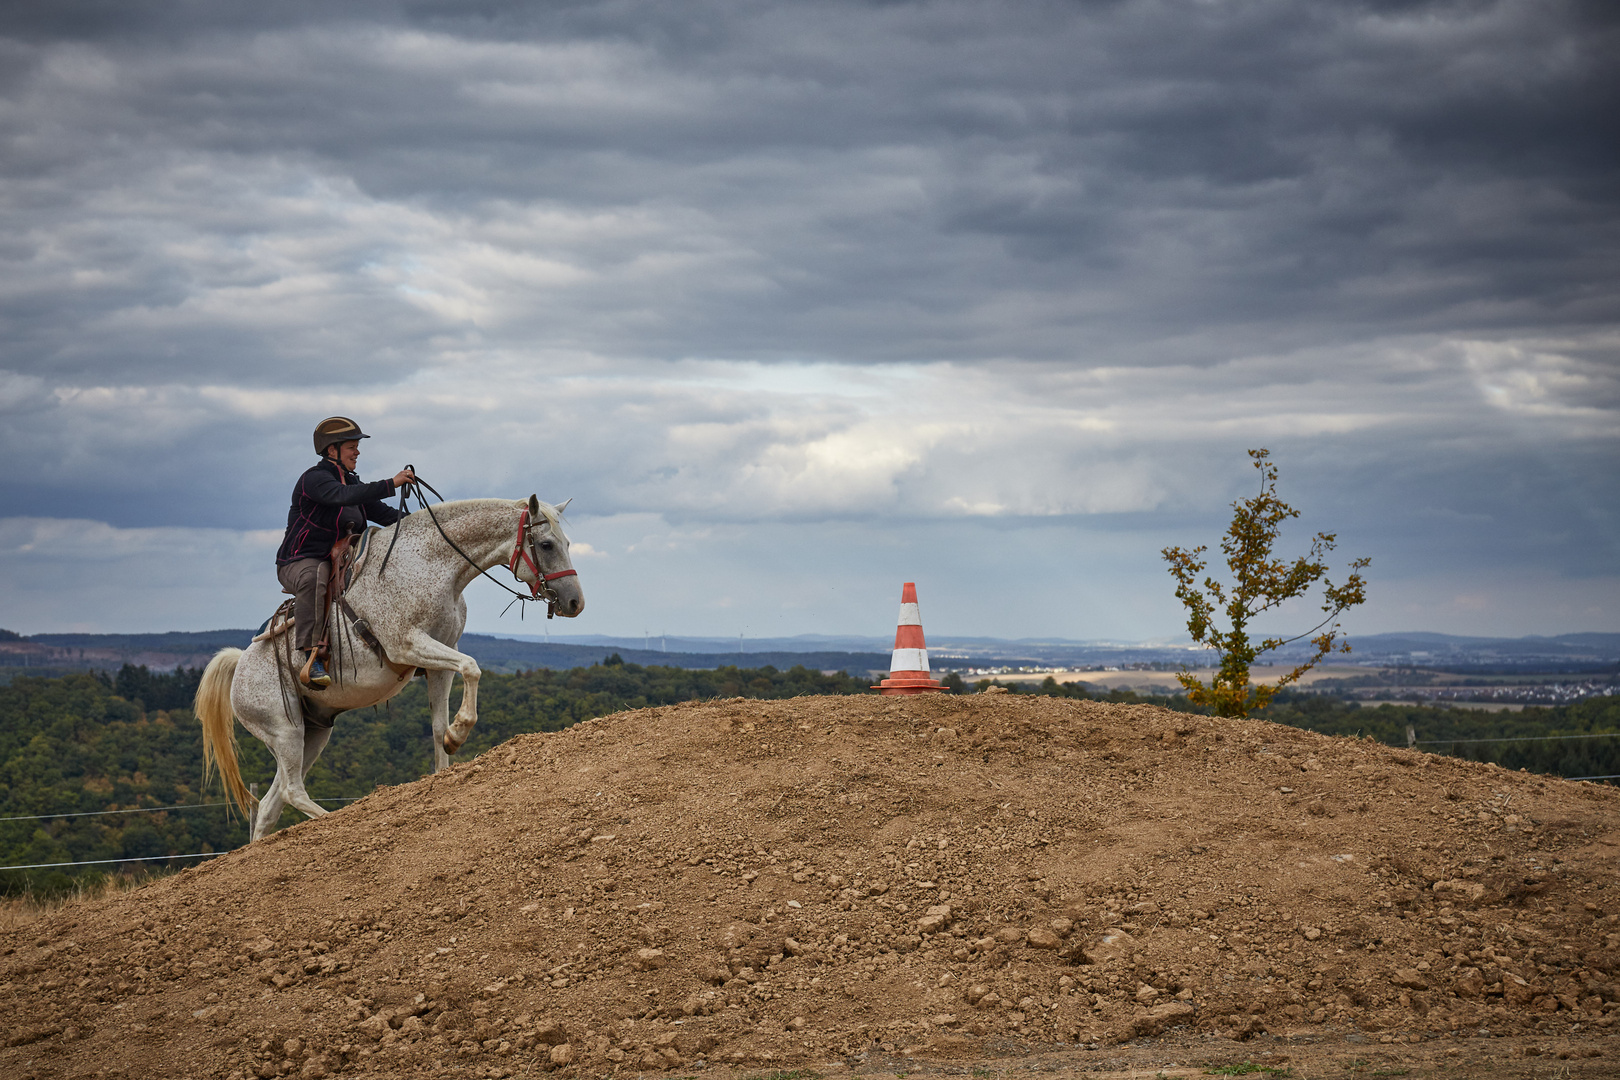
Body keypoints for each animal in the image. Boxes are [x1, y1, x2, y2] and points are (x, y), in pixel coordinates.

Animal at [193, 498, 583, 841]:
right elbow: (472, 668)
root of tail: (239, 666)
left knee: (270, 805)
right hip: (285, 731)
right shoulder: (408, 644)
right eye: (546, 544)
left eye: (565, 542)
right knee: (291, 791)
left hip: (311, 735)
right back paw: (336, 818)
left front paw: (449, 744)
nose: (575, 602)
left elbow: (441, 718)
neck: (430, 565)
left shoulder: (441, 660)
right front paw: (459, 732)